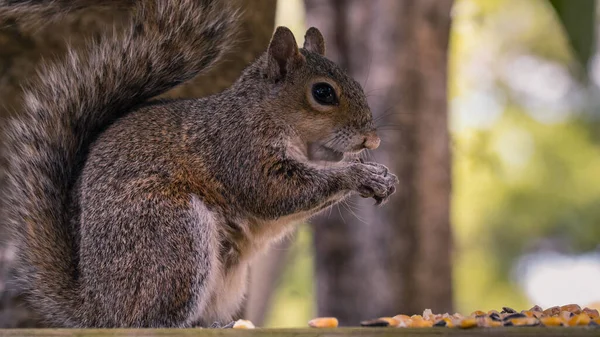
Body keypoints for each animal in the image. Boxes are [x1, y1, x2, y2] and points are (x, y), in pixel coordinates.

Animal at [1, 0, 398, 326]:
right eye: (322, 92)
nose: (372, 140)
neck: (268, 114)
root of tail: (98, 307)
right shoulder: (239, 151)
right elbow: (274, 192)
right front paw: (358, 174)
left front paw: (382, 176)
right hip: (169, 231)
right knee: (148, 319)